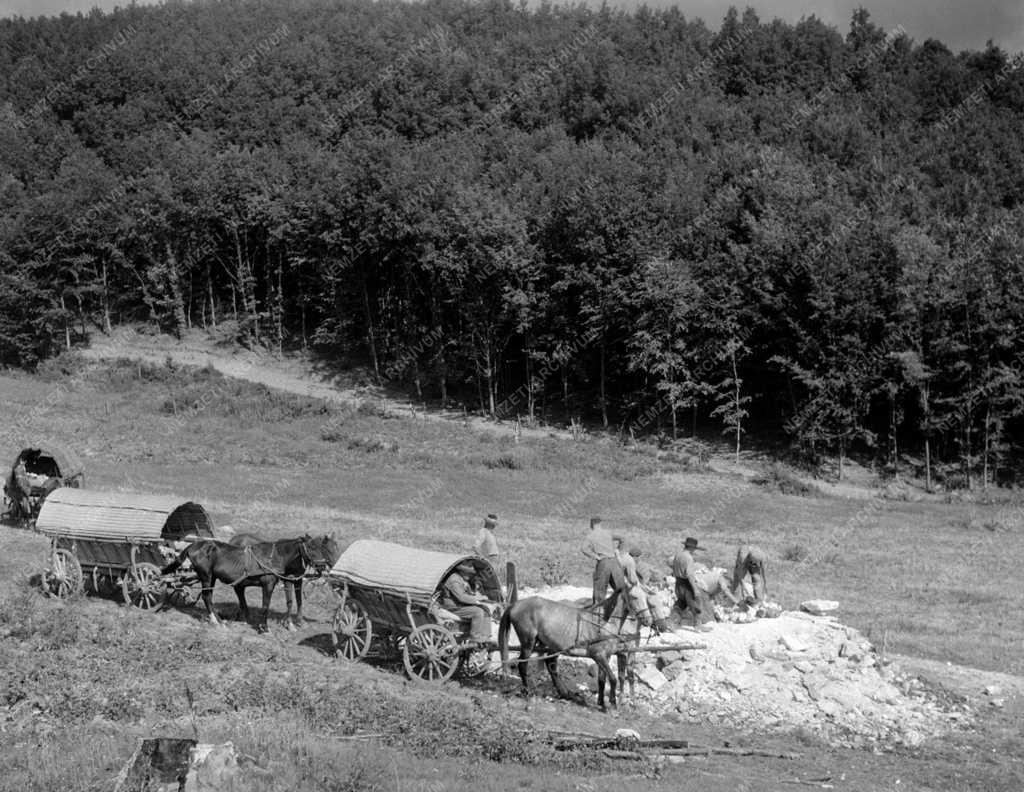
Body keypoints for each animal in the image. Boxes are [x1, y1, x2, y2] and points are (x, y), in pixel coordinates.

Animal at [161, 532, 339, 631]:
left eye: (321, 548)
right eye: (313, 548)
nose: (322, 566)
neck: (274, 557)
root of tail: (193, 546)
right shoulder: (268, 584)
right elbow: (266, 606)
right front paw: (264, 627)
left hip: (211, 577)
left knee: (209, 597)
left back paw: (220, 620)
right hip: (206, 576)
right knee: (207, 597)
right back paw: (218, 621)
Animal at [497, 594, 638, 709]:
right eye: (635, 596)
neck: (604, 622)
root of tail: (515, 605)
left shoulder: (605, 656)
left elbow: (603, 679)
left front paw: (602, 703)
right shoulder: (599, 655)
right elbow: (613, 678)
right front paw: (613, 704)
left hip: (553, 645)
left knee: (551, 664)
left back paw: (564, 693)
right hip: (528, 642)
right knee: (523, 664)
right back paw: (528, 692)